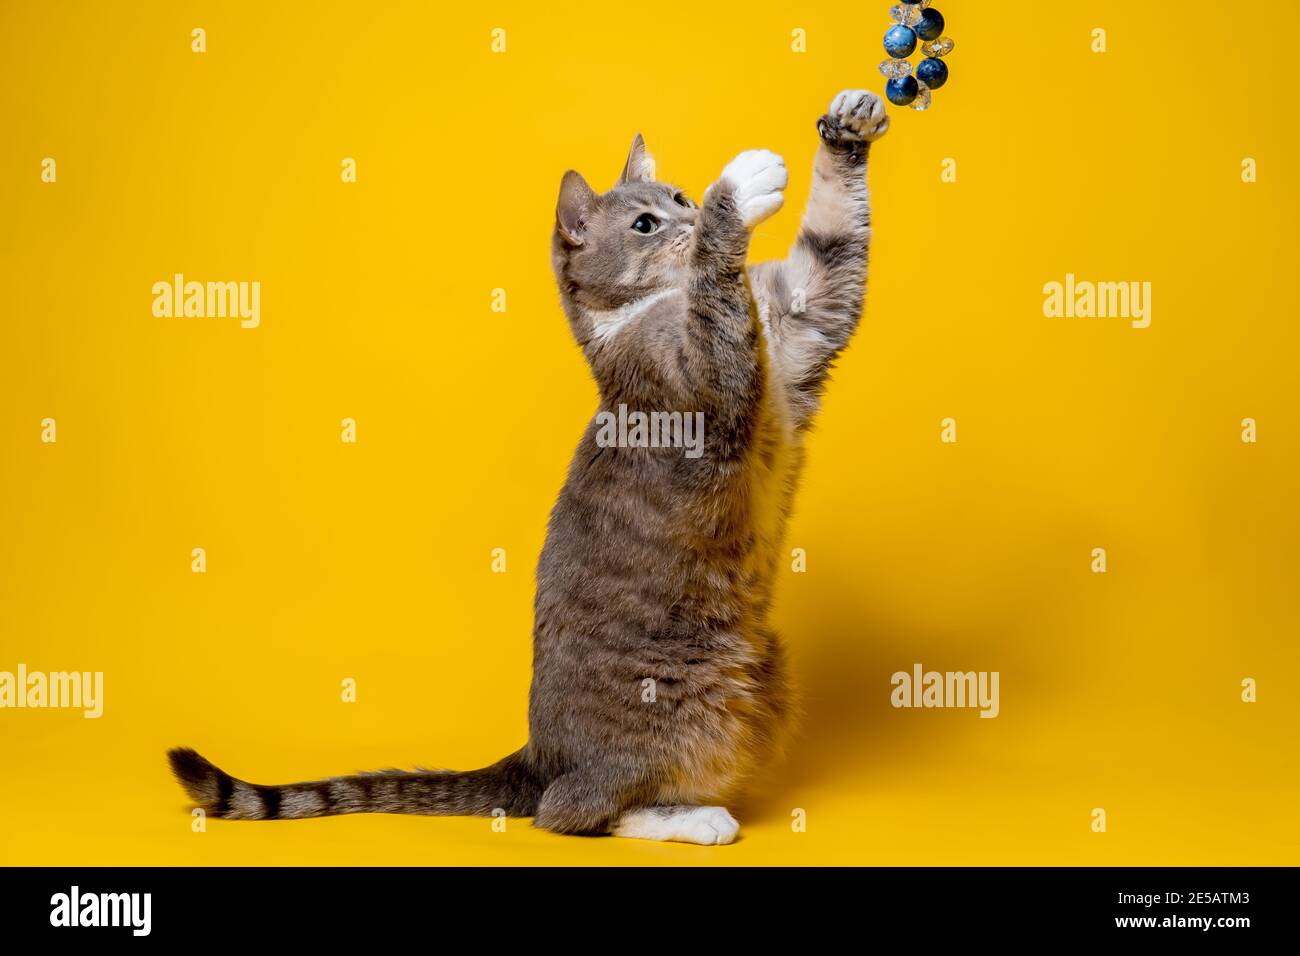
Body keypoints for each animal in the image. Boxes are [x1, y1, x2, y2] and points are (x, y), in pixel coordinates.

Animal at [167, 89, 889, 848]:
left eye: (678, 197)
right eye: (645, 223)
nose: (692, 216)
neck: (646, 311)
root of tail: (538, 754)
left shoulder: (801, 322)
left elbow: (830, 252)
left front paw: (848, 126)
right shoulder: (706, 382)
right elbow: (715, 298)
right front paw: (741, 191)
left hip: (767, 672)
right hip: (687, 707)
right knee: (572, 809)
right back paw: (692, 816)